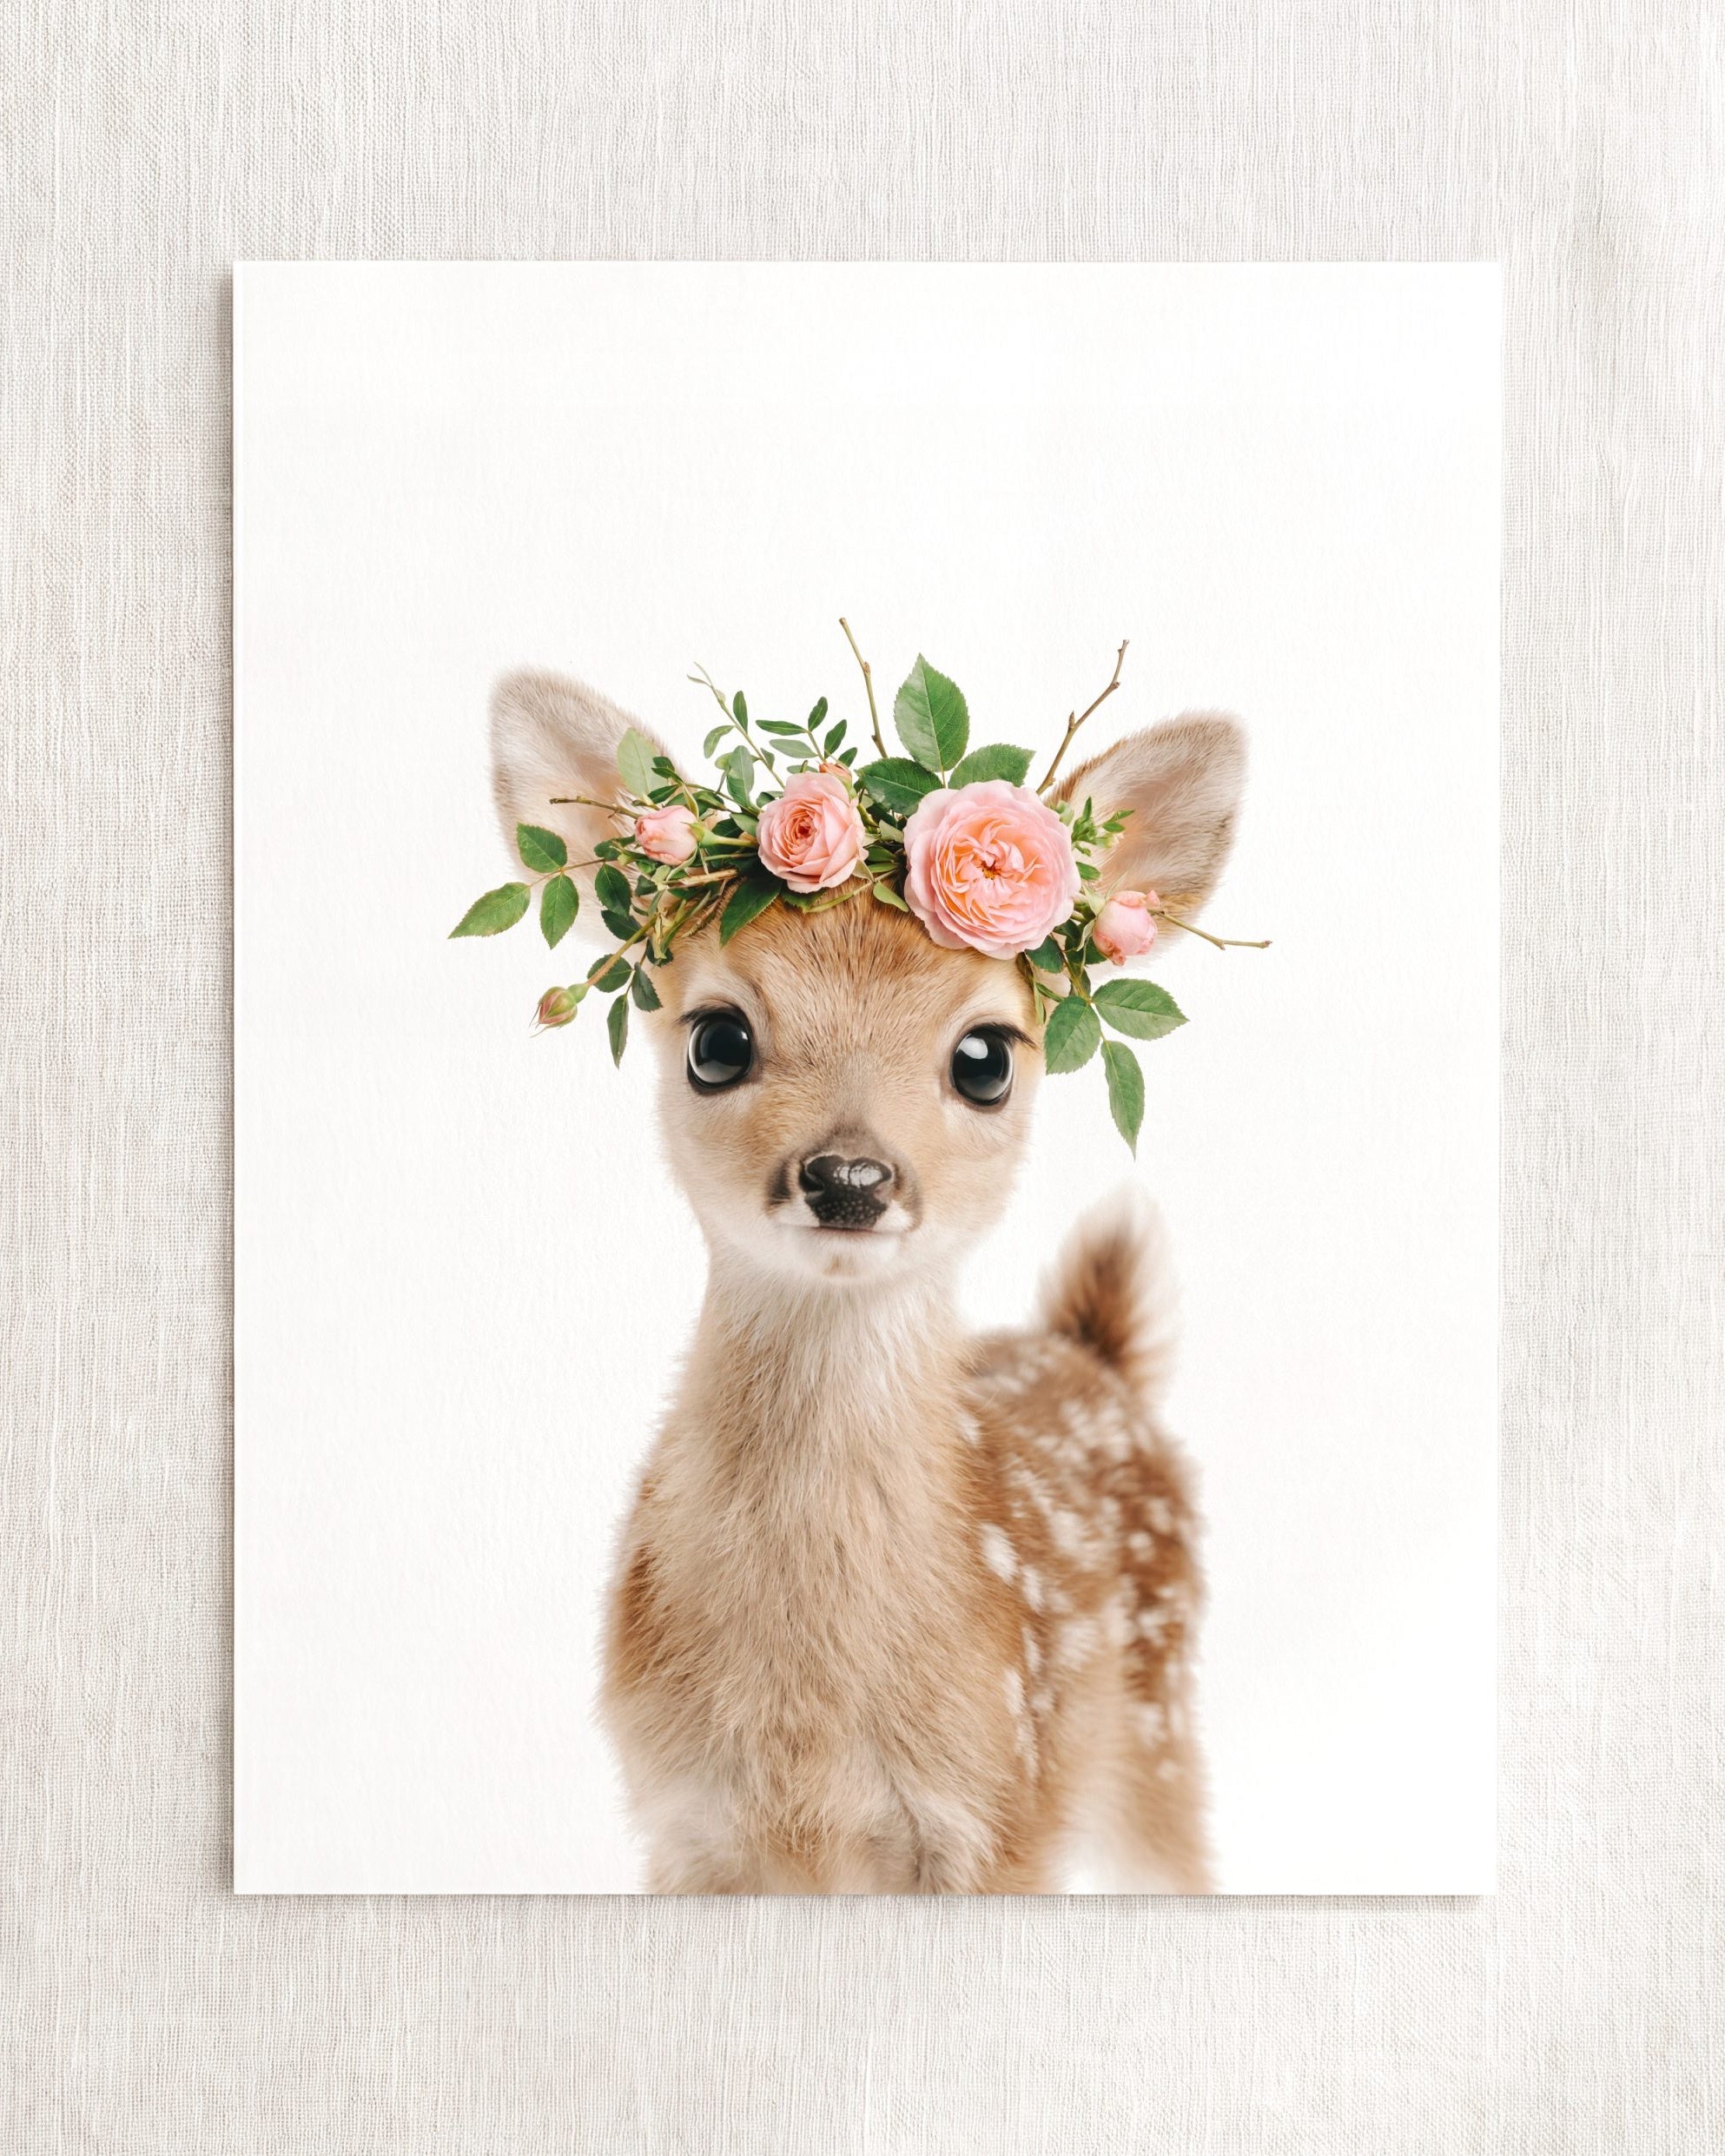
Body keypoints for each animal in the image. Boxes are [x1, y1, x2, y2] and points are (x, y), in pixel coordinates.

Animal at [489, 667, 1247, 1893]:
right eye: (716, 1039)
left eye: (986, 1056)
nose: (848, 1176)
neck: (809, 1728)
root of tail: (1093, 1352)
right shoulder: (682, 1823)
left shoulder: (999, 1811)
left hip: (1155, 1731)